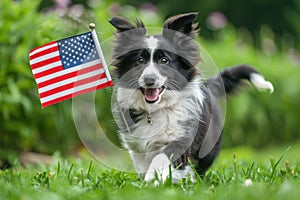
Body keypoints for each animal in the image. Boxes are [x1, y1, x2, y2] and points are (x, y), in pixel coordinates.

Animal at [108, 12, 274, 181]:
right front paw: (149, 181)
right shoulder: (137, 145)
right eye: (139, 60)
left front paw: (152, 181)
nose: (149, 80)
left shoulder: (181, 138)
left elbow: (160, 159)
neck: (156, 110)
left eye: (164, 60)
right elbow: (143, 165)